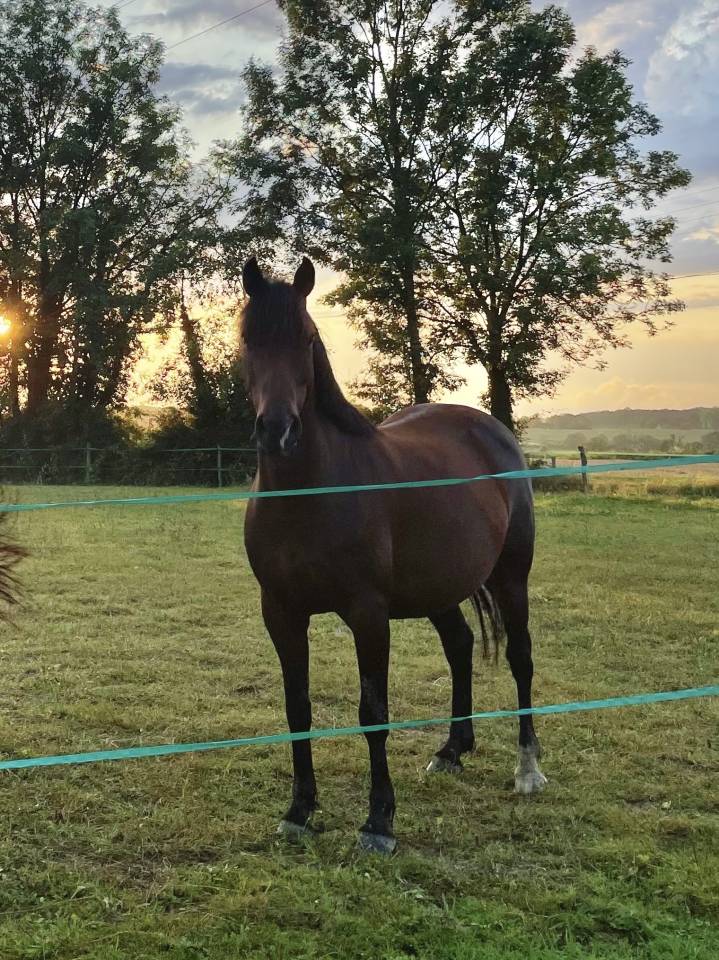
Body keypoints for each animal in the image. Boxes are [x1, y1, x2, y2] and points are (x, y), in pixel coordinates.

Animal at [241, 256, 546, 853]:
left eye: (306, 338)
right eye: (247, 339)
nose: (278, 430)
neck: (310, 493)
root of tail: (492, 429)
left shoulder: (367, 613)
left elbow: (372, 712)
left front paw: (378, 821)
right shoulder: (280, 612)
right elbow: (297, 707)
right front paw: (299, 810)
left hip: (510, 577)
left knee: (521, 657)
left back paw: (528, 769)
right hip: (439, 588)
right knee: (460, 646)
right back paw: (452, 749)